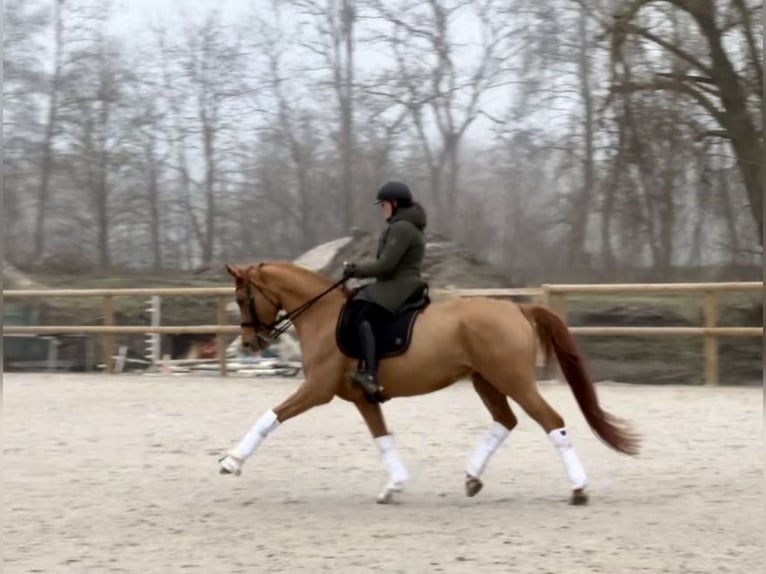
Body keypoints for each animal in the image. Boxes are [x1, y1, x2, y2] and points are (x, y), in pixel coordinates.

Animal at [218, 260, 640, 505]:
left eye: (241, 298)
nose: (250, 344)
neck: (322, 314)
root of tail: (516, 309)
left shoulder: (317, 390)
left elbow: (270, 416)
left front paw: (231, 461)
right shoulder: (363, 398)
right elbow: (382, 438)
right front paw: (394, 485)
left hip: (514, 381)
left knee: (552, 422)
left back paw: (579, 489)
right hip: (486, 382)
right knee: (505, 421)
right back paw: (472, 478)